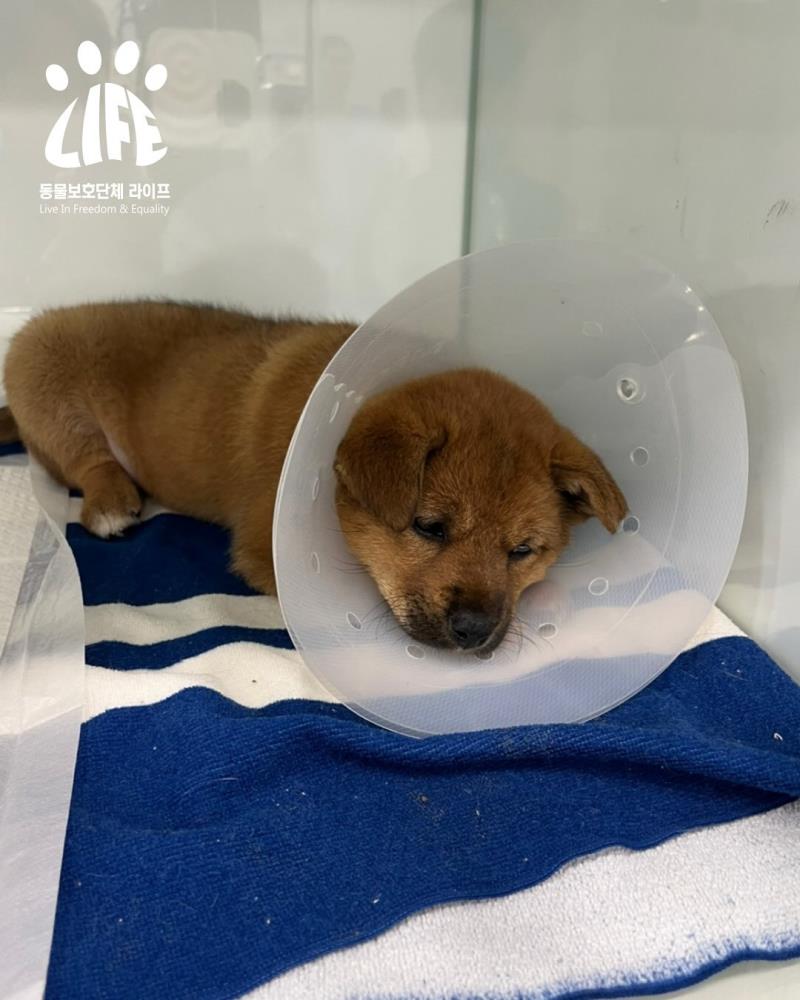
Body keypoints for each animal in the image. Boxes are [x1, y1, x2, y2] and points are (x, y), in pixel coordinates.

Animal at [1, 300, 627, 653]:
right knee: (87, 462)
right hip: (49, 389)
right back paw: (112, 501)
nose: (474, 631)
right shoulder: (266, 549)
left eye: (522, 550)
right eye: (429, 527)